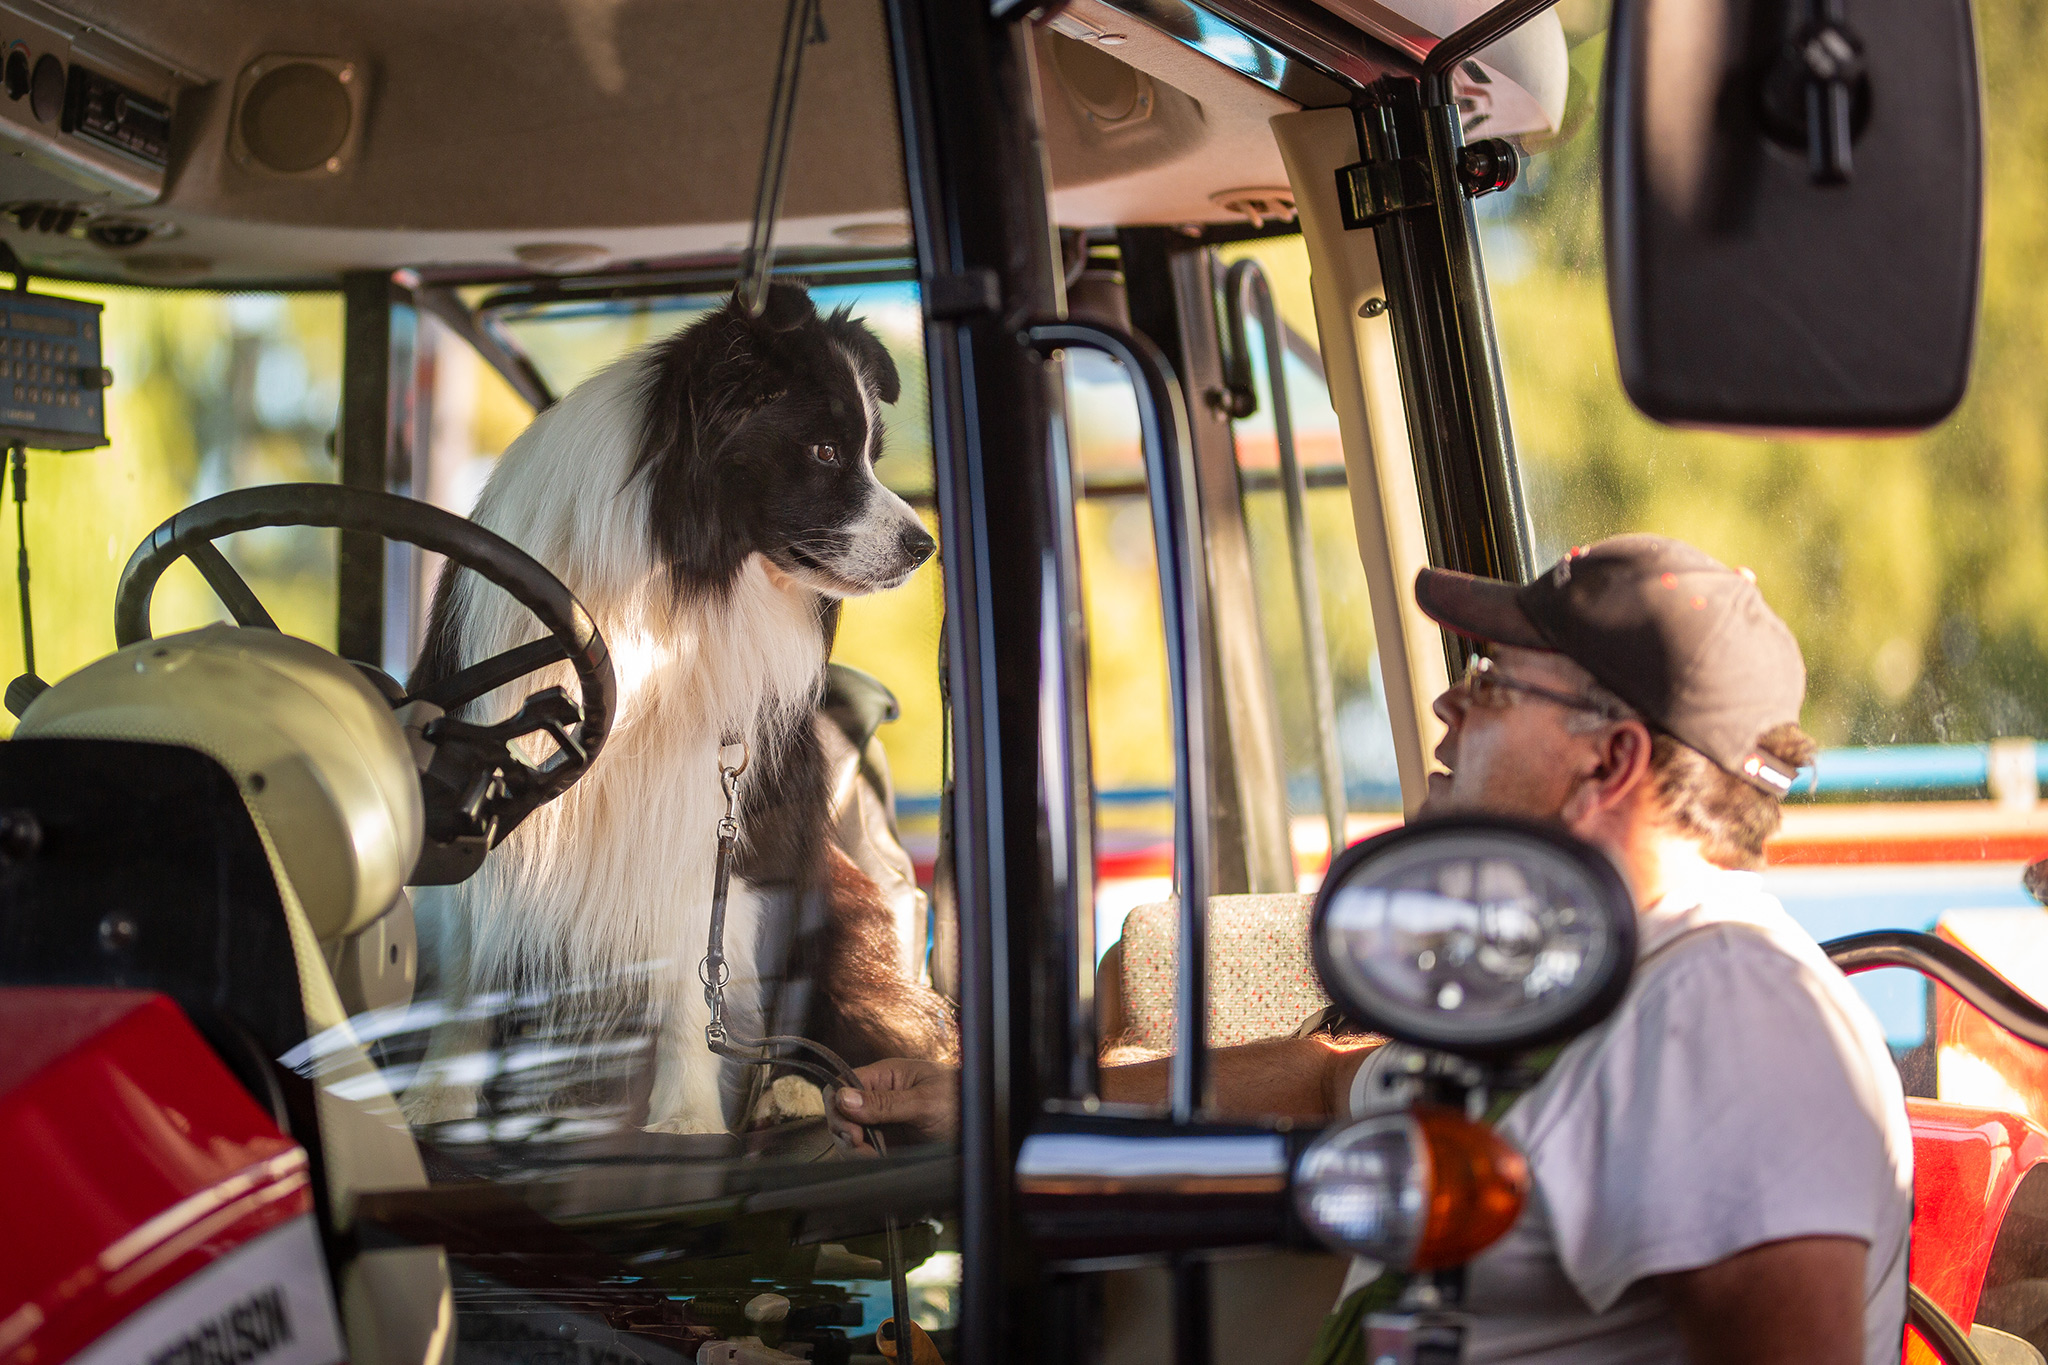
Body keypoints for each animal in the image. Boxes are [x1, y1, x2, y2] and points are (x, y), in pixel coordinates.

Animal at [413, 282, 958, 1137]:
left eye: (869, 450)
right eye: (824, 451)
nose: (922, 546)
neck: (670, 586)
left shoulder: (712, 812)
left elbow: (691, 970)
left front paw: (687, 1119)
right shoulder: (488, 771)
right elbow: (469, 959)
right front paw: (438, 1095)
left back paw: (796, 1090)